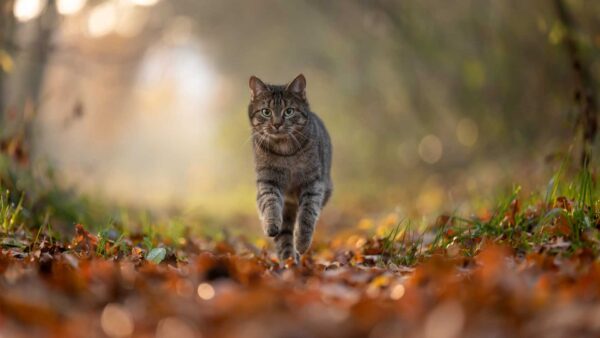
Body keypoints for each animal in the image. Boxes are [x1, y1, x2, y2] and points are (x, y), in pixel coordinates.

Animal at [247, 74, 332, 262]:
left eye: (289, 111)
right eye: (266, 112)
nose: (277, 124)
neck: (285, 151)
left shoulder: (313, 183)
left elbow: (307, 214)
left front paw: (302, 241)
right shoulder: (268, 181)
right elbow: (270, 203)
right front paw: (271, 224)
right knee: (284, 234)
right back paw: (288, 260)